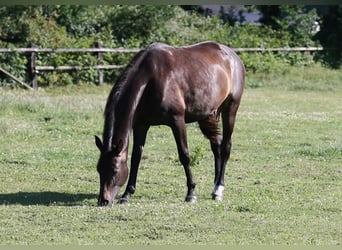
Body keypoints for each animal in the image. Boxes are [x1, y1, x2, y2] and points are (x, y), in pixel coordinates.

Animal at [95, 41, 244, 206]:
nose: (103, 200)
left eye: (115, 170)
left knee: (225, 146)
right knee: (216, 144)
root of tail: (233, 56)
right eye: (99, 169)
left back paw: (219, 188)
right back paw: (215, 187)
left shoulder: (177, 121)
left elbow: (184, 155)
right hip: (207, 114)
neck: (151, 79)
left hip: (230, 108)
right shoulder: (141, 125)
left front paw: (191, 193)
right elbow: (136, 158)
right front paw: (127, 194)